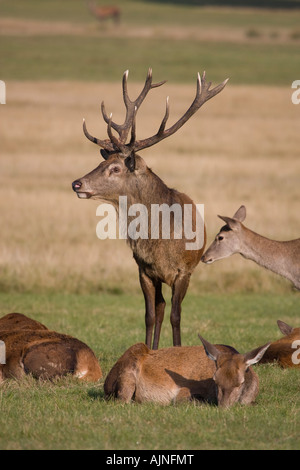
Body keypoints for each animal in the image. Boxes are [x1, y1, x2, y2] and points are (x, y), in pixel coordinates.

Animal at [72, 69, 227, 348]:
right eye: (102, 163)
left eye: (115, 168)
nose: (76, 183)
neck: (160, 242)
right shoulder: (143, 270)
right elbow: (150, 315)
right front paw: (147, 350)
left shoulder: (183, 272)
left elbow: (177, 316)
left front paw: (177, 350)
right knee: (160, 307)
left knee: (169, 308)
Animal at [103, 334, 270, 408]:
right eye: (215, 380)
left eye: (240, 383)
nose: (223, 406)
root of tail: (106, 385)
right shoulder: (183, 393)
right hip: (129, 370)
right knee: (123, 400)